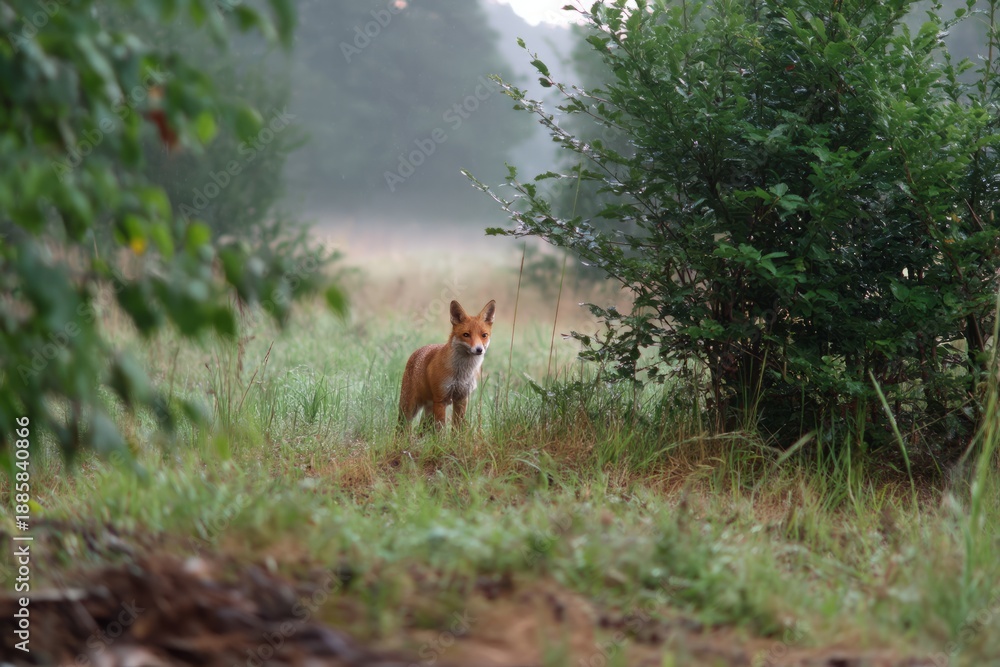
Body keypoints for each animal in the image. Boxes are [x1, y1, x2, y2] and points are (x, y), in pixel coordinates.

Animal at [398, 299, 497, 432]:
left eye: (484, 335)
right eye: (466, 335)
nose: (479, 349)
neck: (462, 372)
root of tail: (417, 351)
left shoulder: (461, 399)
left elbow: (457, 428)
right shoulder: (441, 399)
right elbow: (441, 431)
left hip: (428, 410)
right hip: (409, 407)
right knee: (401, 428)